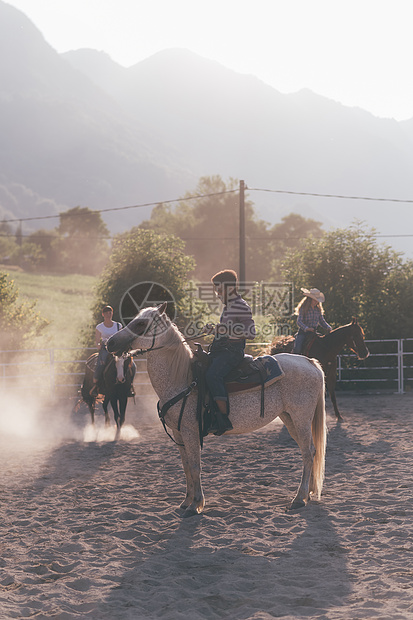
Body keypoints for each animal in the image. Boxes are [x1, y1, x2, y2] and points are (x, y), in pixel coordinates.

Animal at [108, 302, 326, 516]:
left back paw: (299, 499)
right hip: (289, 418)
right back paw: (307, 494)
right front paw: (186, 501)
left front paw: (196, 504)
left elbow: (195, 466)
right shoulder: (178, 432)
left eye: (141, 323)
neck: (182, 379)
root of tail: (309, 362)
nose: (110, 342)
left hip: (301, 418)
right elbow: (186, 467)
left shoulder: (190, 431)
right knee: (308, 451)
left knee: (308, 452)